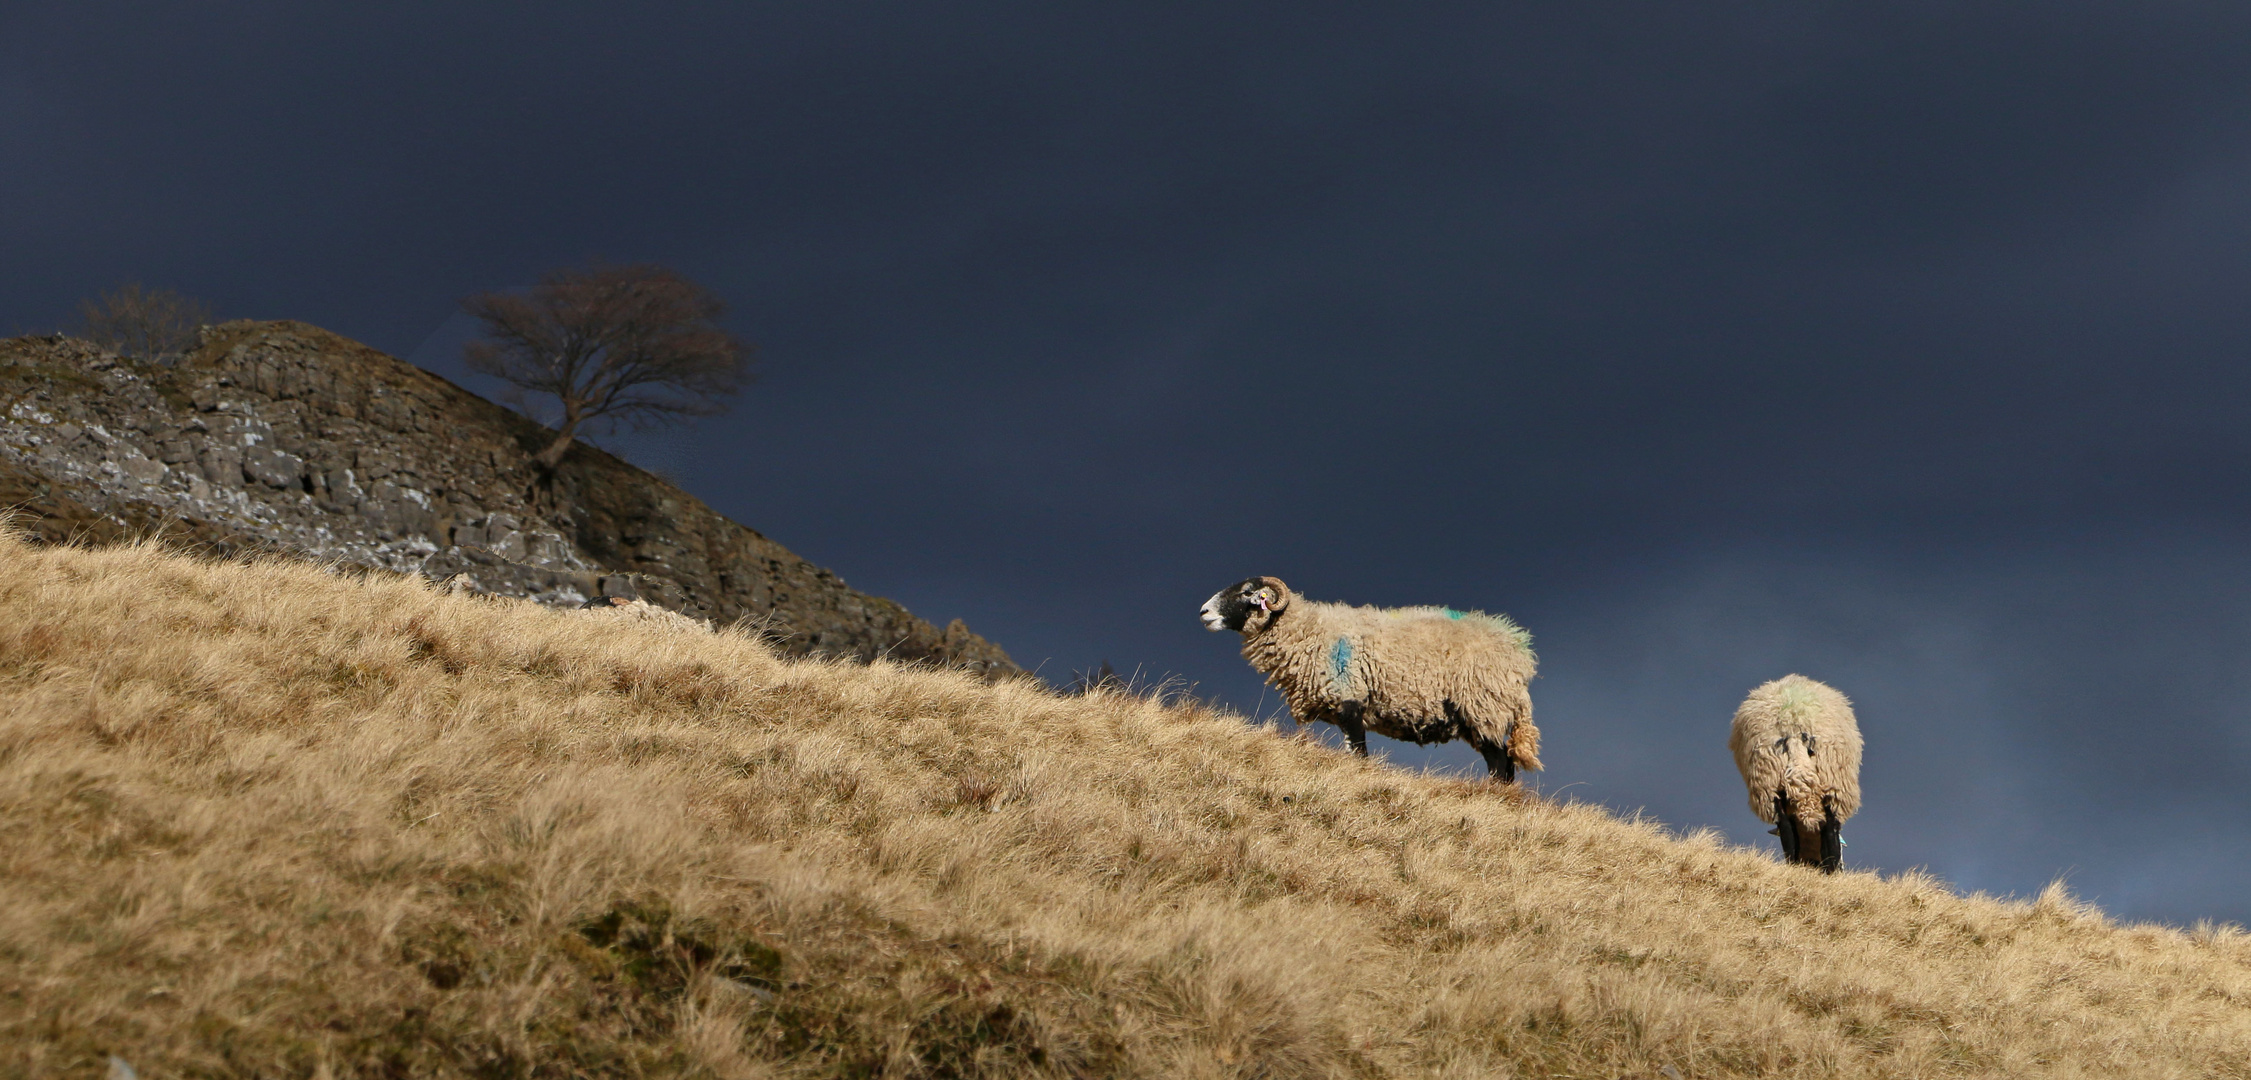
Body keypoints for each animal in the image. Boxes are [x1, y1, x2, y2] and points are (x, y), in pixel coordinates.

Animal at [1197, 576, 1548, 778]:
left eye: (1247, 592)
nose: (1203, 612)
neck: (1307, 629)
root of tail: (1518, 650)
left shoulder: (1350, 700)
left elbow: (1358, 755)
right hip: (1480, 717)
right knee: (1504, 764)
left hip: (1484, 709)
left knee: (1500, 764)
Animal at [1719, 679, 1863, 873]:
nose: (1812, 864)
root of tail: (1792, 723)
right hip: (1832, 781)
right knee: (1828, 828)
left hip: (1771, 784)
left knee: (1786, 831)